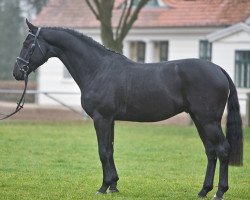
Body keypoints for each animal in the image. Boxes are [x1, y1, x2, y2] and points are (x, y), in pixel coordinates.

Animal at [12, 19, 242, 198]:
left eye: (27, 44)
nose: (17, 73)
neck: (98, 69)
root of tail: (218, 69)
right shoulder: (110, 120)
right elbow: (110, 149)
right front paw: (113, 185)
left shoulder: (102, 118)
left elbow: (103, 151)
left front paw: (103, 187)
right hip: (198, 119)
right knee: (211, 151)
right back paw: (204, 191)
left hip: (208, 120)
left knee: (222, 149)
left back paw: (219, 192)